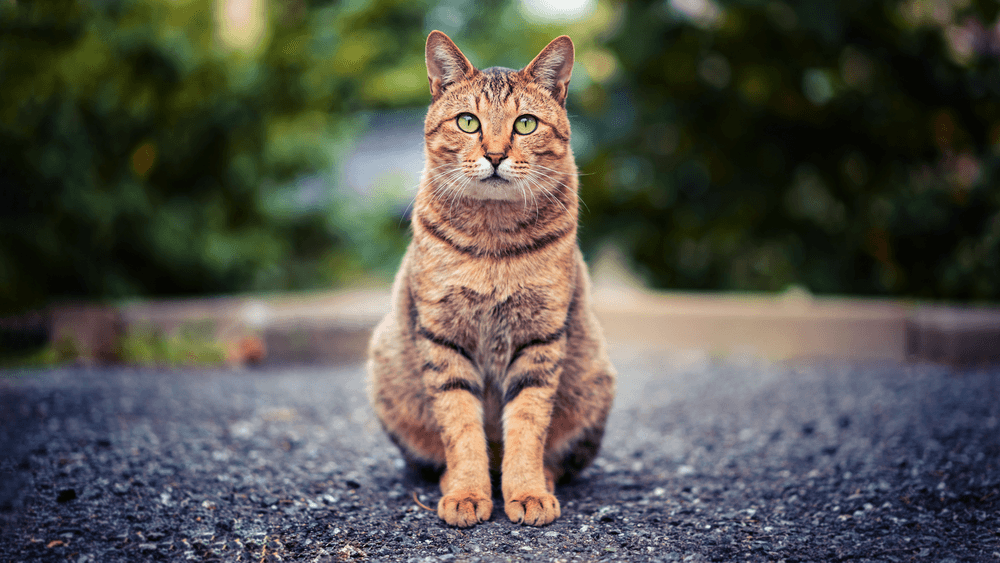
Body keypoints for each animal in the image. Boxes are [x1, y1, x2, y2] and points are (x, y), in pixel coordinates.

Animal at [368, 30, 616, 528]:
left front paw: (527, 492)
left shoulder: (540, 338)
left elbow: (526, 425)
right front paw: (467, 492)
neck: (493, 240)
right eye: (468, 122)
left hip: (594, 380)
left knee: (555, 457)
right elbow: (461, 427)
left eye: (525, 124)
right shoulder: (443, 338)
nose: (496, 155)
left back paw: (542, 479)